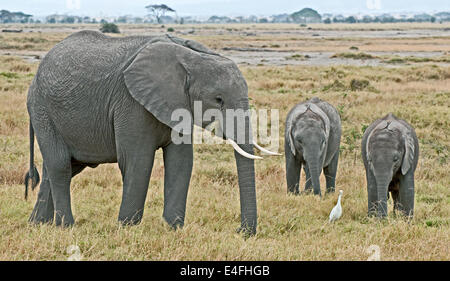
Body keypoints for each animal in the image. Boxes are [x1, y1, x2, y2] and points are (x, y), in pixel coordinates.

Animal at [27, 30, 278, 234]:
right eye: (218, 99)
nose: (240, 230)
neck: (190, 56)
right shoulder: (130, 101)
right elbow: (138, 160)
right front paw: (127, 227)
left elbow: (181, 160)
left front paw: (173, 227)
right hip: (42, 110)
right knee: (60, 165)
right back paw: (65, 226)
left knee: (63, 168)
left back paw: (38, 224)